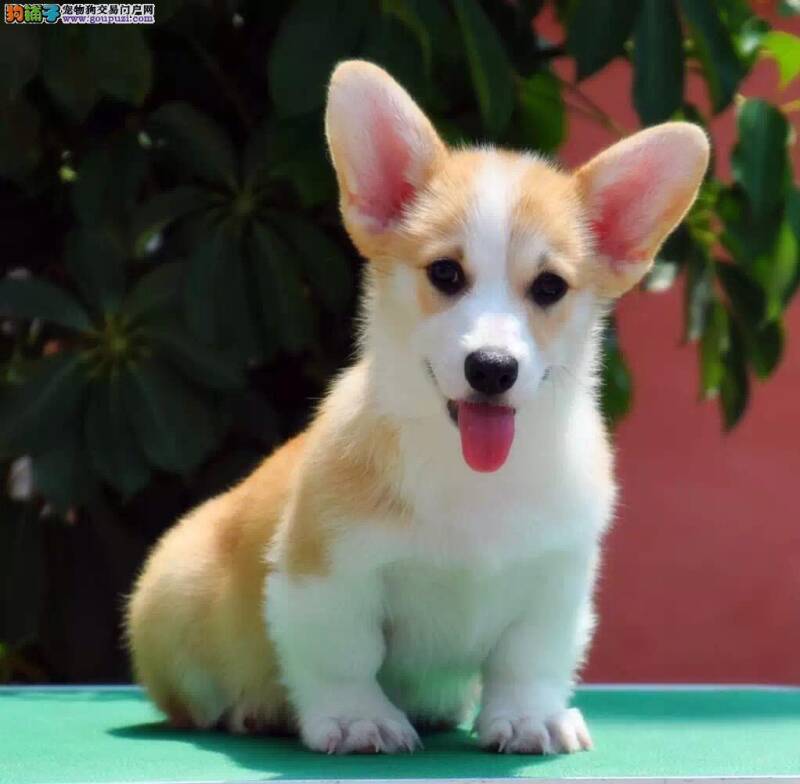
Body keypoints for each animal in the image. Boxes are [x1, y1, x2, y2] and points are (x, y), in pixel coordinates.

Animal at [128, 59, 708, 752]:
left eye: (549, 287)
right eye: (445, 274)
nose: (492, 368)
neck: (471, 476)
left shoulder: (556, 584)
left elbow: (529, 660)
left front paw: (529, 717)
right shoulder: (327, 576)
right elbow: (344, 655)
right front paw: (359, 720)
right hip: (174, 587)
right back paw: (255, 711)